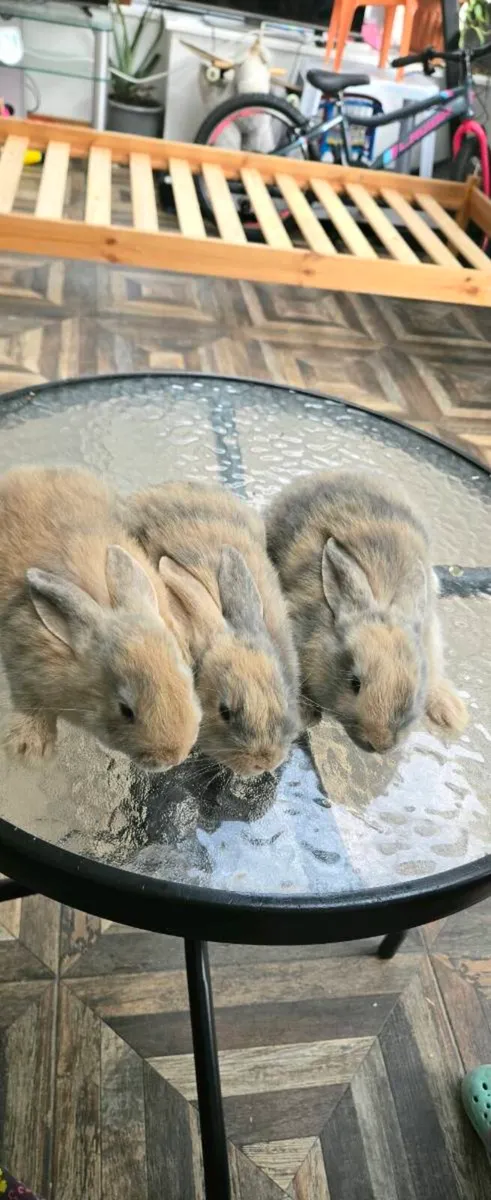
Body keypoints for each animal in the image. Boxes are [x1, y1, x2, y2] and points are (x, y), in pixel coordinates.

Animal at [0, 467, 201, 769]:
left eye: (187, 681)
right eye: (125, 710)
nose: (172, 758)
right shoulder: (23, 667)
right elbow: (30, 704)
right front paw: (29, 752)